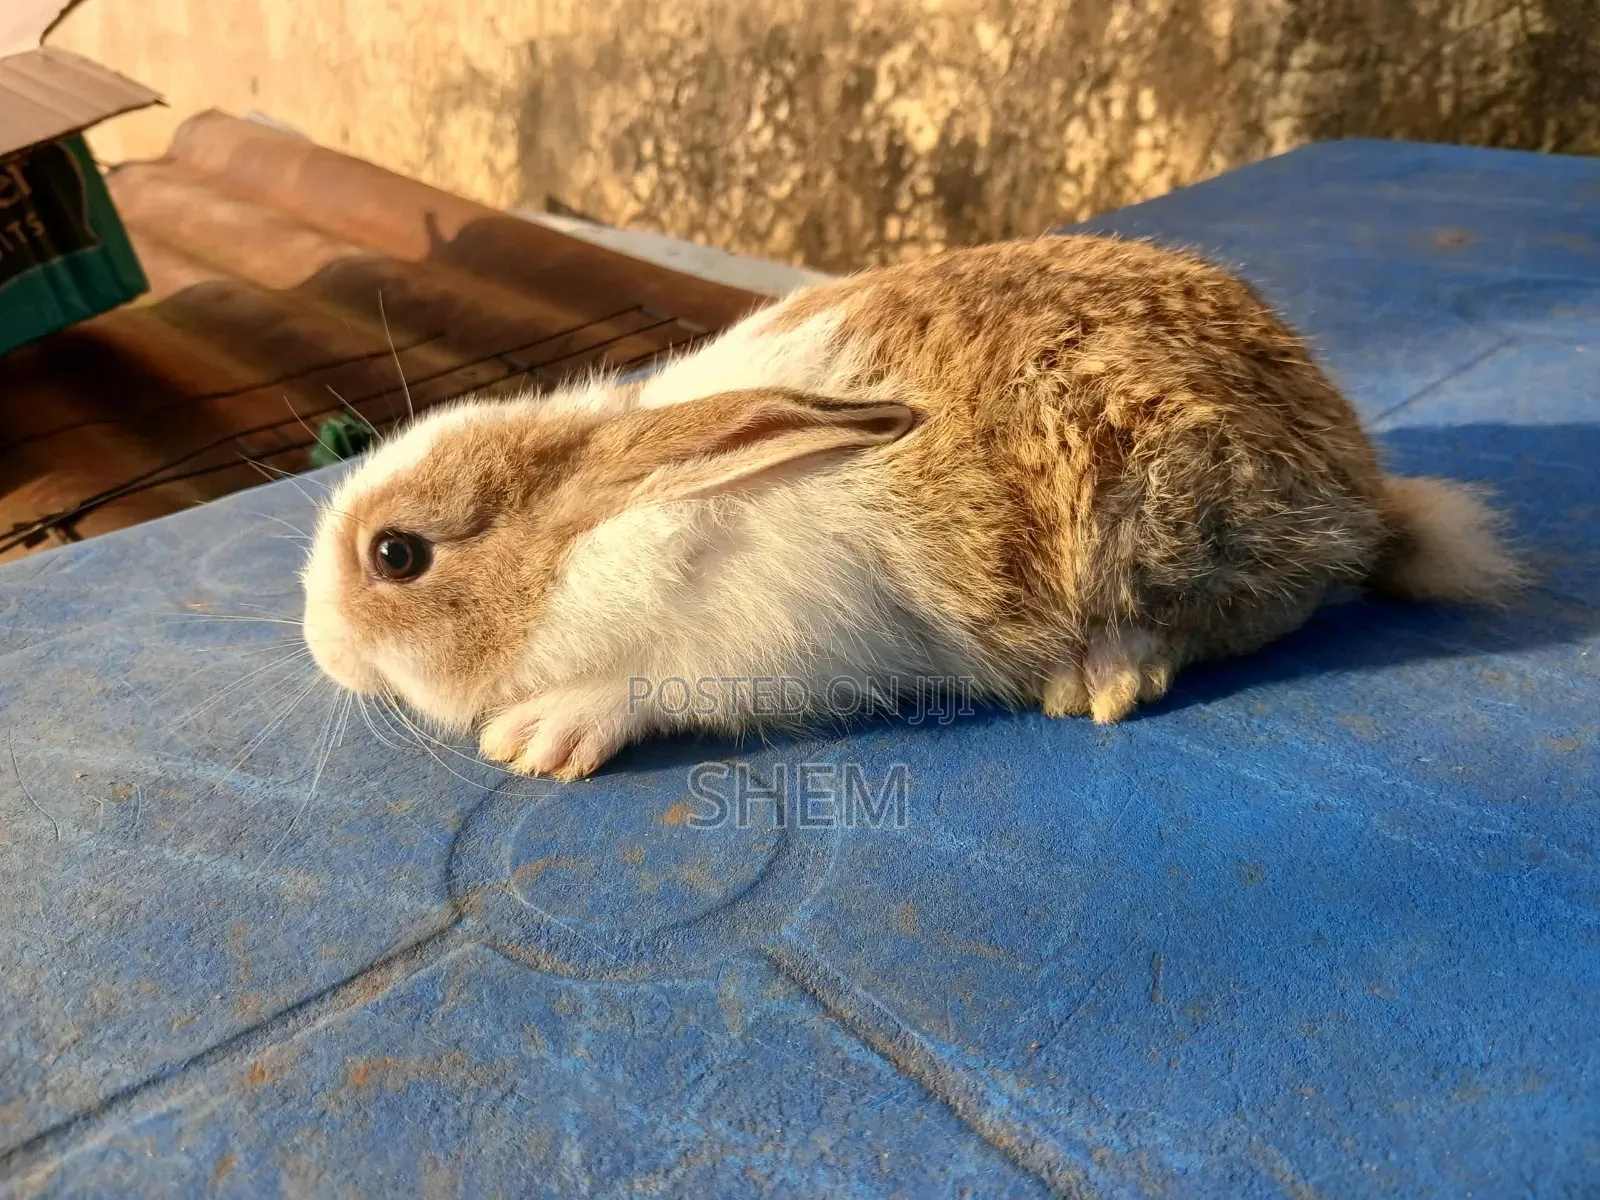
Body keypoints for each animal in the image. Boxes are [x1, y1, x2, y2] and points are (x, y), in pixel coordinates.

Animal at [301, 235, 1522, 779]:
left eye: (398, 555)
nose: (318, 646)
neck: (609, 530)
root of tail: (1362, 490)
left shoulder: (754, 645)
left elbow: (644, 691)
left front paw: (538, 738)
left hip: (1179, 522)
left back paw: (1100, 676)